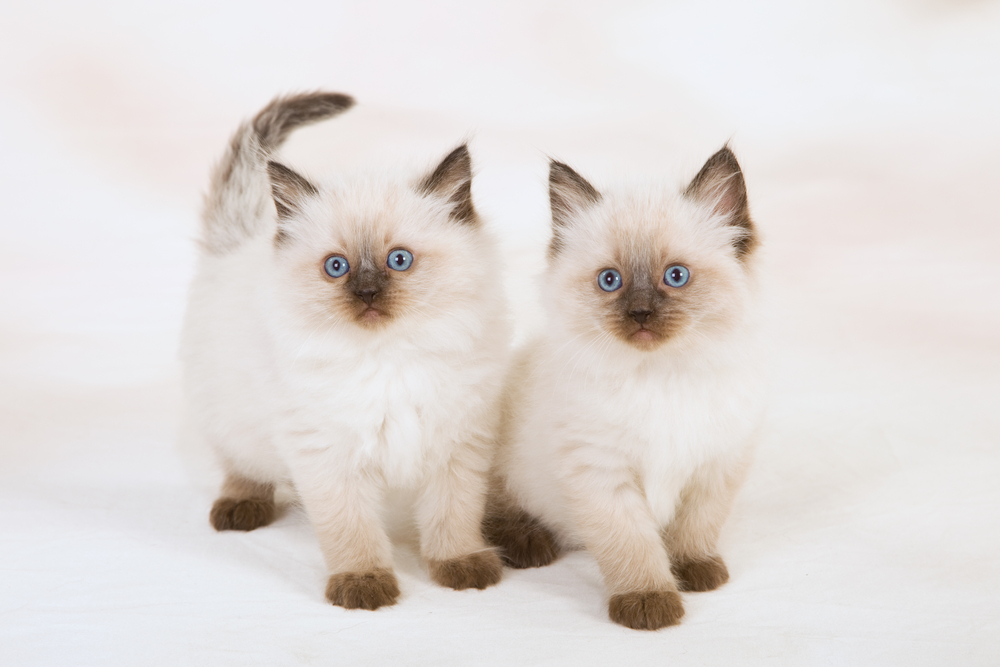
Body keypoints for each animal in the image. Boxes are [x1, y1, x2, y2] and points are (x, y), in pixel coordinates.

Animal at [180, 92, 508, 612]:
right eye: (337, 267)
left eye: (399, 260)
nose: (367, 293)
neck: (390, 359)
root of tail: (234, 245)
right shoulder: (328, 455)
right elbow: (352, 530)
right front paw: (364, 585)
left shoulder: (458, 444)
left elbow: (453, 515)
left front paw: (460, 567)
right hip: (231, 415)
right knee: (239, 462)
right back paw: (240, 507)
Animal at [484, 147, 764, 632]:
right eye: (610, 280)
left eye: (675, 276)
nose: (640, 313)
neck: (659, 377)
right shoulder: (603, 475)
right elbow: (632, 546)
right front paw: (650, 603)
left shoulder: (715, 464)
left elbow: (697, 527)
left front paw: (694, 571)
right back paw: (529, 543)